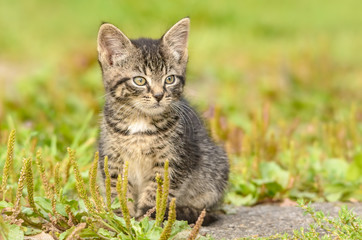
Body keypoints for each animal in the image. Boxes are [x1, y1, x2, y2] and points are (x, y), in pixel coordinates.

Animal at [97, 17, 228, 224]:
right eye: (140, 80)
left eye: (170, 79)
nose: (159, 95)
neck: (139, 120)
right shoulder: (112, 157)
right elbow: (117, 187)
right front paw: (120, 217)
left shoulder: (174, 160)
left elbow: (158, 191)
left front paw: (148, 217)